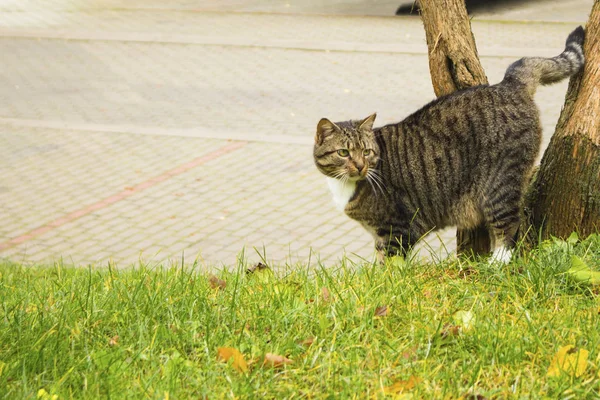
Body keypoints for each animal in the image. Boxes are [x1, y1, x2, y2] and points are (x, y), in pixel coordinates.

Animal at [312, 25, 584, 262]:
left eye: (366, 152)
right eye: (343, 152)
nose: (360, 166)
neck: (346, 185)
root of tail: (508, 84)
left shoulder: (398, 229)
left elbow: (390, 265)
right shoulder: (380, 235)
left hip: (499, 184)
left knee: (508, 225)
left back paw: (496, 262)